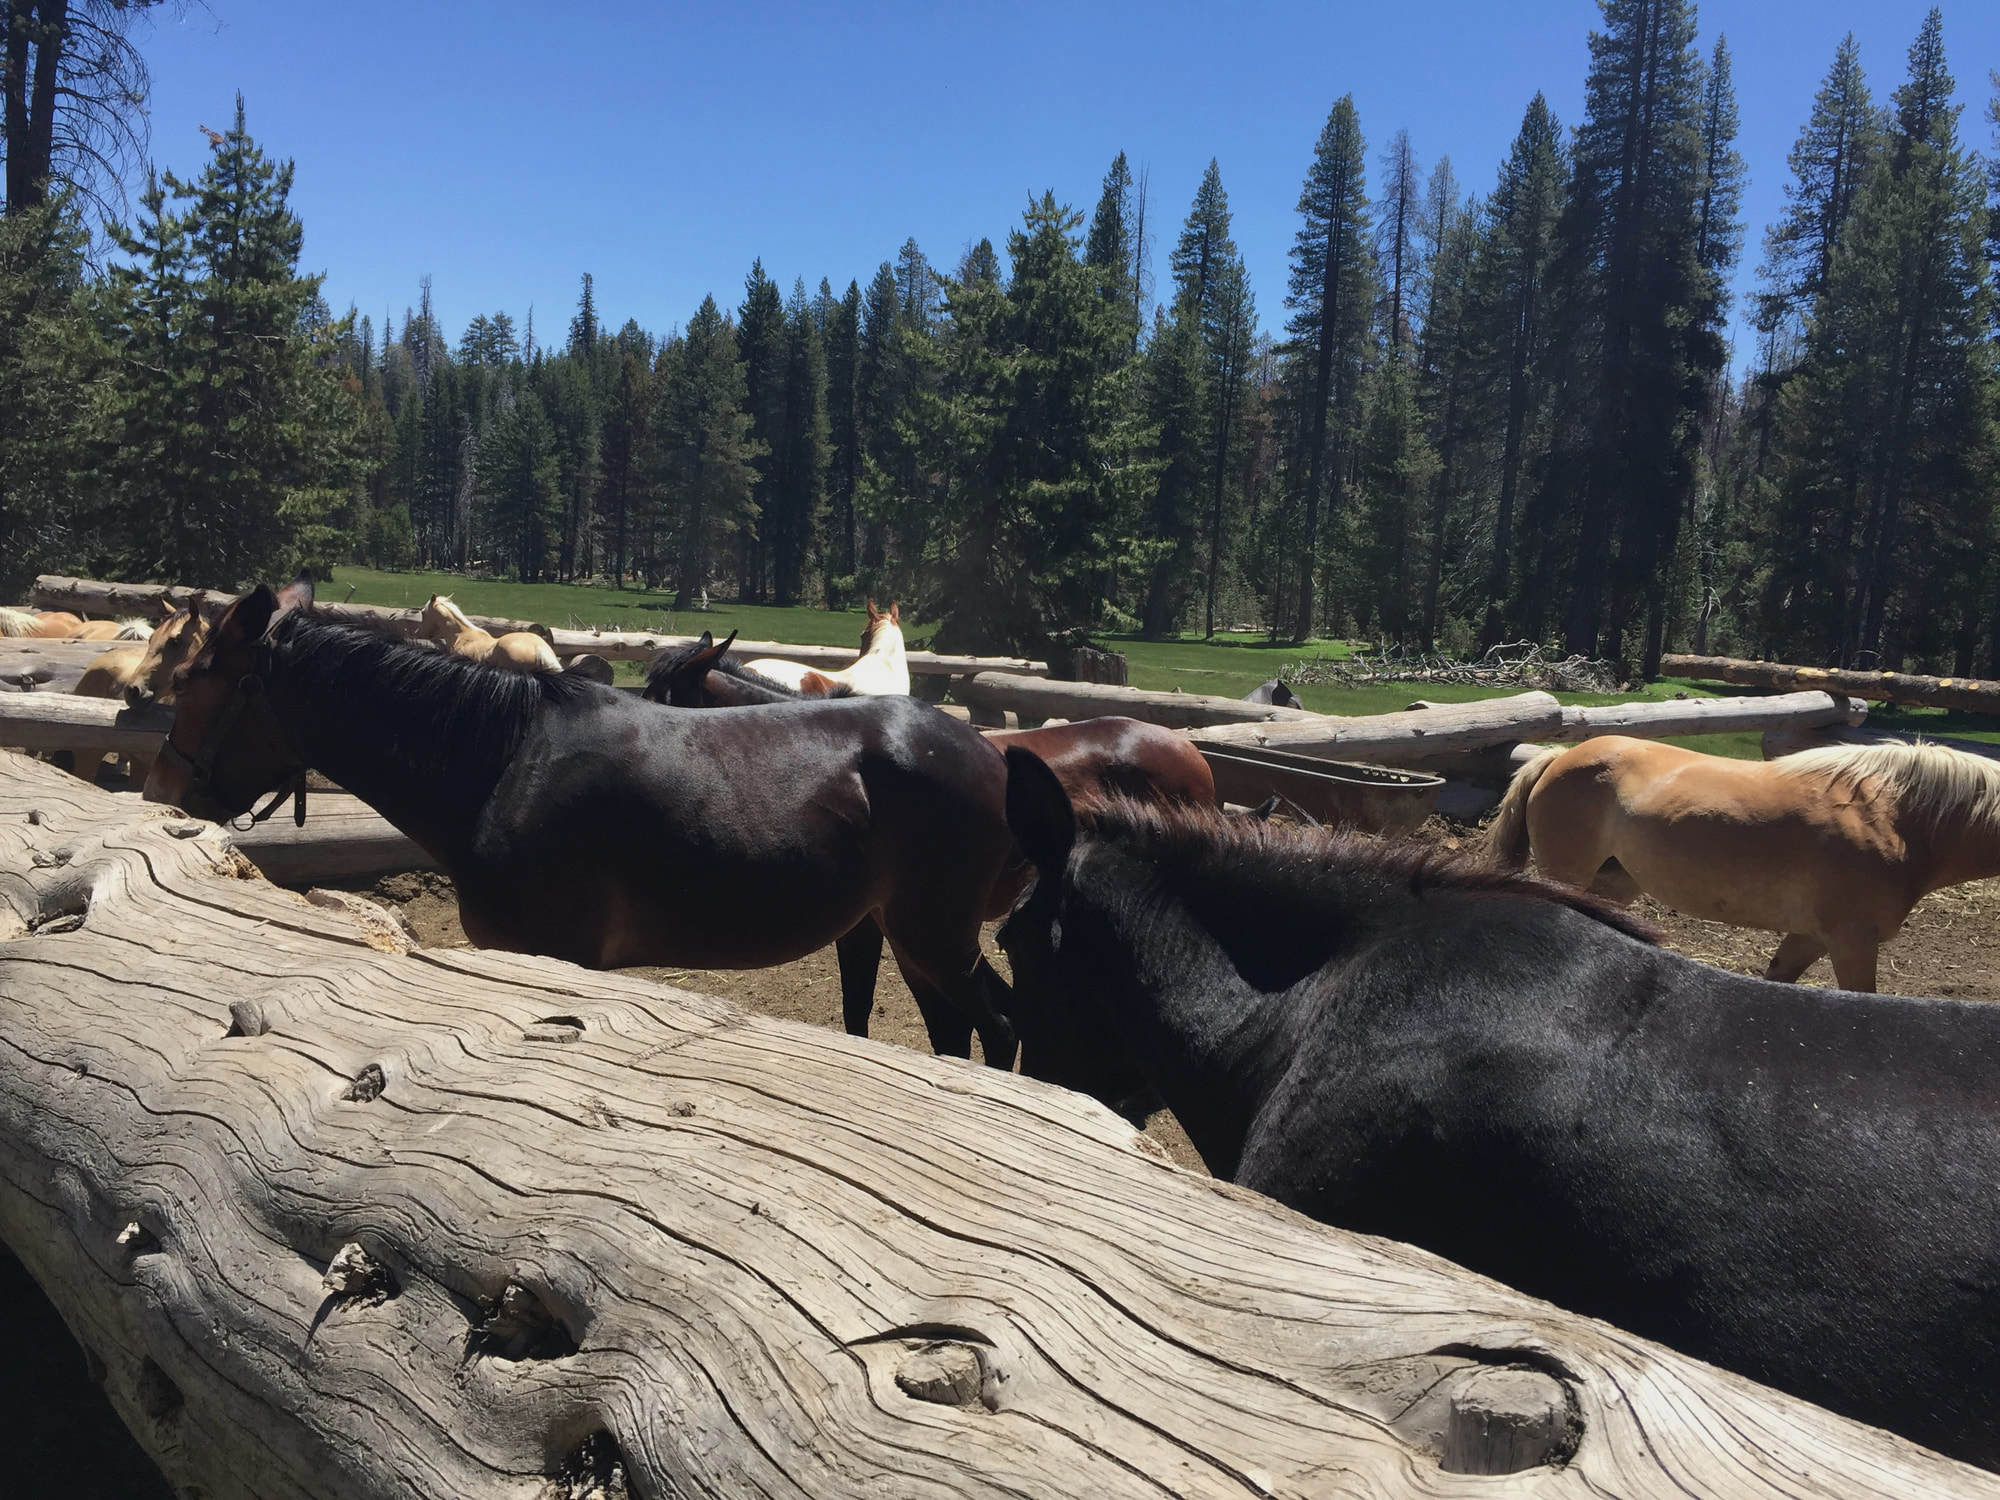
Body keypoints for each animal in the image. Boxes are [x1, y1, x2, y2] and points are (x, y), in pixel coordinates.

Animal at [1484, 734, 2000, 993]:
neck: (1898, 816)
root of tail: (1559, 757)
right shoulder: (1852, 940)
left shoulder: (1812, 935)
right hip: (1568, 877)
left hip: (1614, 883)